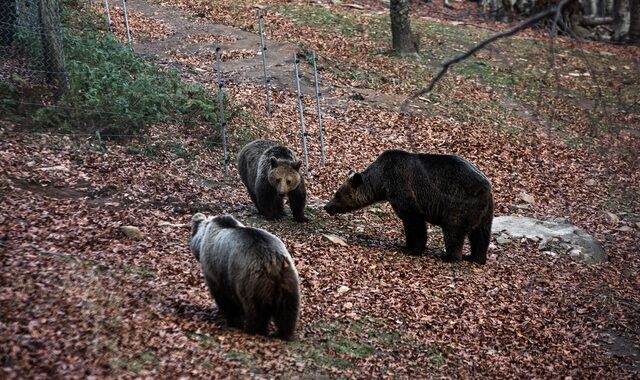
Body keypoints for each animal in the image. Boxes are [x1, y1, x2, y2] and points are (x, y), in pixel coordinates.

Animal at [190, 212, 300, 340]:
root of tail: (272, 262)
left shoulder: (216, 270)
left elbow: (224, 298)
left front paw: (232, 320)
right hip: (288, 279)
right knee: (287, 311)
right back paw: (284, 334)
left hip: (251, 281)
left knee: (256, 310)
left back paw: (254, 329)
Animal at [324, 149, 496, 264]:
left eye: (337, 195)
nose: (327, 206)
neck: (381, 182)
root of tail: (487, 187)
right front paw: (406, 245)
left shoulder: (403, 187)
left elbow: (414, 222)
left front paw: (413, 248)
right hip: (486, 210)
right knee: (481, 233)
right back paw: (475, 257)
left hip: (459, 202)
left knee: (454, 229)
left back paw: (449, 257)